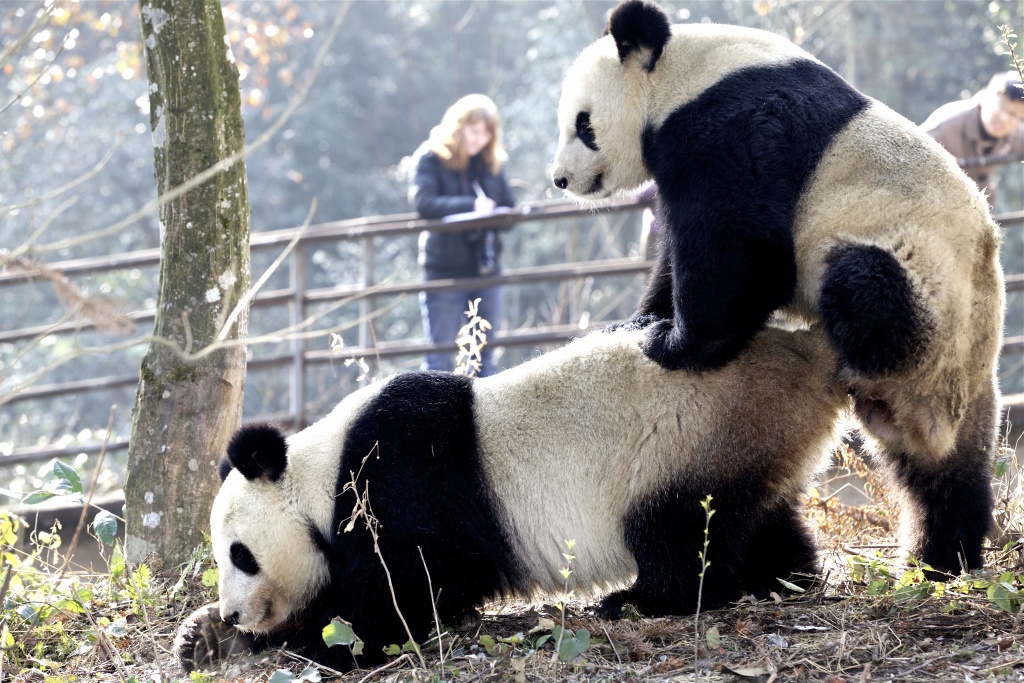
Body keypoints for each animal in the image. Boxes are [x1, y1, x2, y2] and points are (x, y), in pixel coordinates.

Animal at [176, 327, 847, 671]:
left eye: (240, 555)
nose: (234, 614)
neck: (321, 473)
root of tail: (804, 359)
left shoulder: (400, 480)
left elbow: (406, 593)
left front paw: (310, 639)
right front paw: (201, 637)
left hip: (678, 438)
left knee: (681, 534)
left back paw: (641, 601)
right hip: (745, 440)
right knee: (762, 518)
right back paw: (786, 577)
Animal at [548, 1, 1003, 577]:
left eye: (583, 125)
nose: (560, 179)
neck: (679, 75)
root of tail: (933, 416)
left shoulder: (733, 129)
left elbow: (742, 248)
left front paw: (671, 344)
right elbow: (684, 254)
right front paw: (640, 321)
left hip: (922, 287)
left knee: (864, 289)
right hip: (965, 376)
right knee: (946, 480)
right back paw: (941, 559)